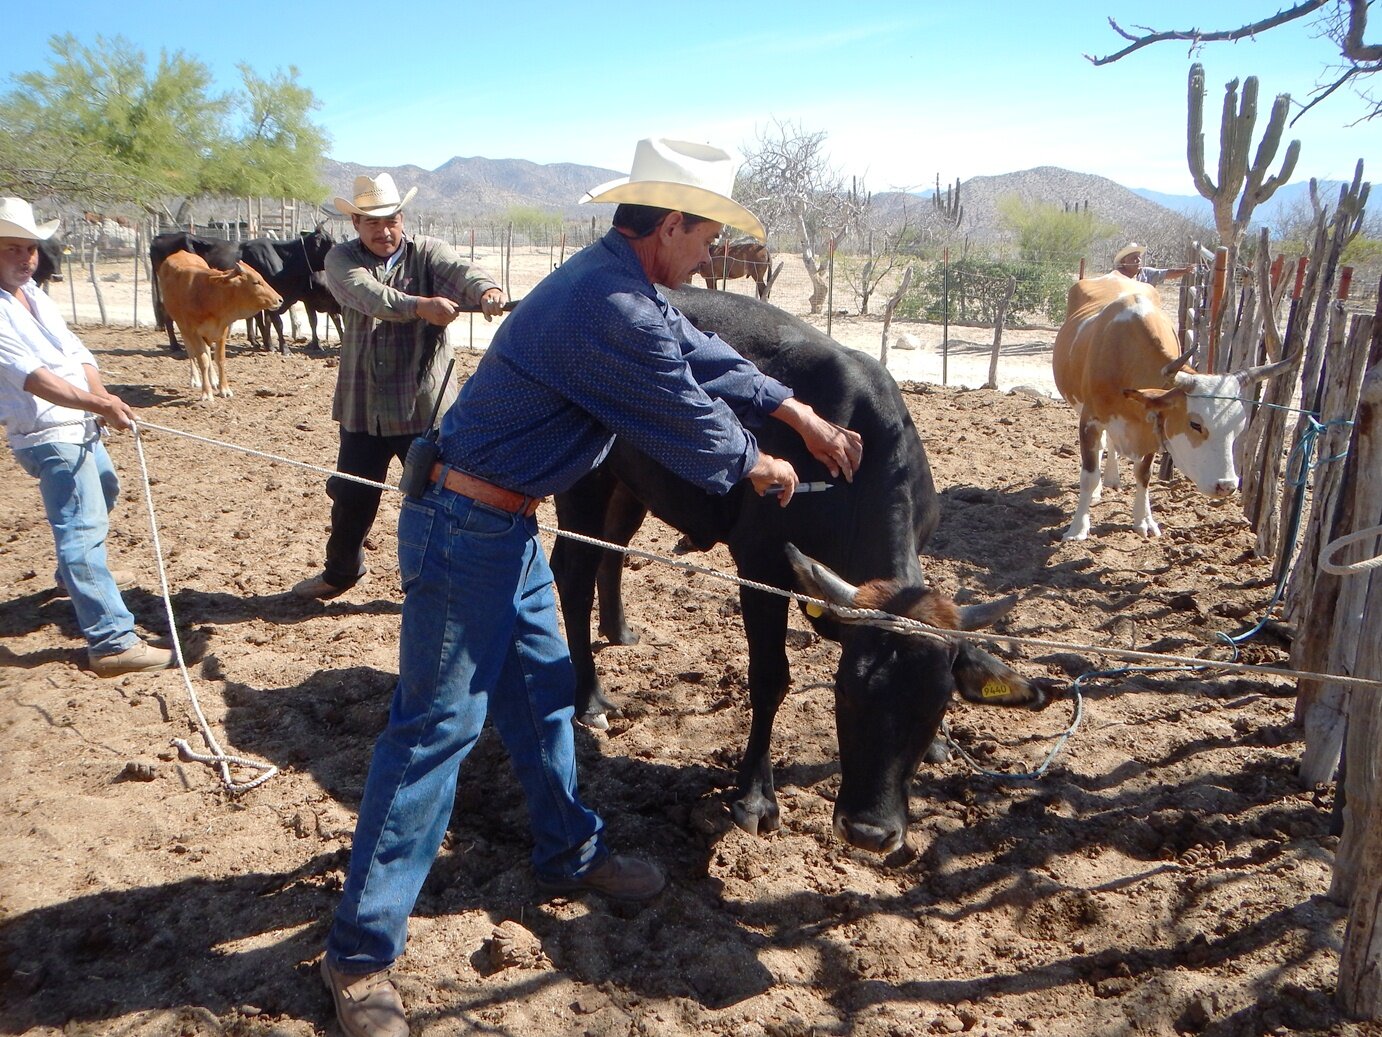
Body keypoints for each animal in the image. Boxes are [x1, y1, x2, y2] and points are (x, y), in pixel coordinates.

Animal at [544, 288, 1050, 857]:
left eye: (936, 705)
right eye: (844, 692)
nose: (869, 831)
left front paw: (941, 746)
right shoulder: (761, 564)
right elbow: (770, 677)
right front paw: (755, 798)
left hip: (634, 484)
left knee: (612, 551)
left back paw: (621, 631)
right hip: (584, 480)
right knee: (574, 570)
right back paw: (589, 699)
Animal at [1055, 268, 1293, 544]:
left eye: (1239, 427)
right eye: (1195, 424)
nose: (1227, 486)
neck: (1123, 353)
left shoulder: (1154, 423)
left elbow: (1143, 474)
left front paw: (1144, 521)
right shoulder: (1090, 421)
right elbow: (1089, 476)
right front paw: (1078, 528)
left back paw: (1113, 478)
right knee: (1104, 446)